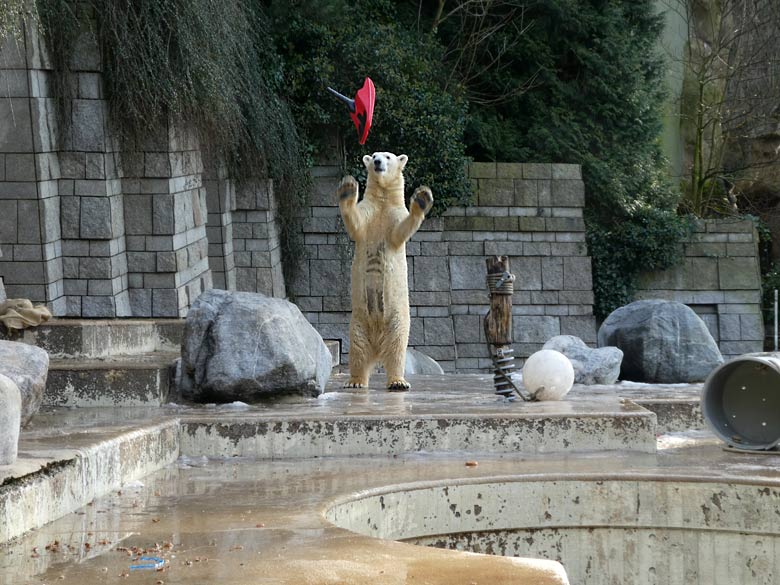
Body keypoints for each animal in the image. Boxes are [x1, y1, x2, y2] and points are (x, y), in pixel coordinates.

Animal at [336, 153, 432, 390]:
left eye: (387, 156)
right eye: (373, 156)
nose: (378, 162)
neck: (382, 201)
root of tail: (378, 348)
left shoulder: (394, 216)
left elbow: (401, 231)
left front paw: (422, 199)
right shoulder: (368, 212)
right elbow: (356, 224)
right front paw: (348, 188)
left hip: (397, 319)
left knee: (397, 349)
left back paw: (398, 381)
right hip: (358, 323)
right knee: (358, 351)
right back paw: (355, 381)